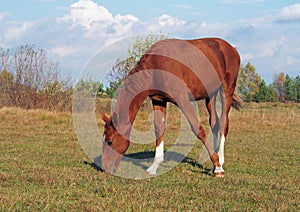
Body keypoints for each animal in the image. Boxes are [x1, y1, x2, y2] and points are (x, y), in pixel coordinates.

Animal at [101, 37, 241, 177]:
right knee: (214, 124)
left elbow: (197, 129)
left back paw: (219, 162)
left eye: (110, 141)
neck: (155, 67)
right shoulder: (158, 100)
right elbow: (159, 128)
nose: (105, 168)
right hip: (210, 94)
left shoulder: (182, 99)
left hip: (226, 90)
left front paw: (218, 166)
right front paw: (154, 166)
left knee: (223, 123)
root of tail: (232, 49)